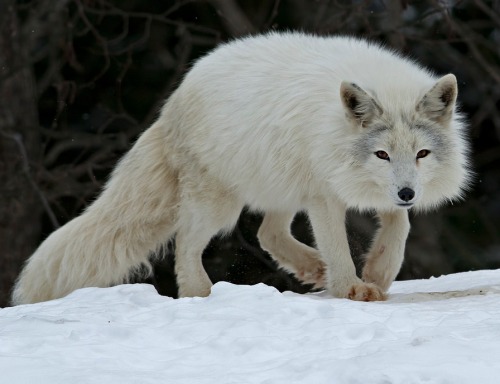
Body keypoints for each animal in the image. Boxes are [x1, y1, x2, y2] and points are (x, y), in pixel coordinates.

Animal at [12, 31, 472, 304]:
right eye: (381, 154)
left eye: (422, 154)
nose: (408, 193)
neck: (335, 131)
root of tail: (173, 102)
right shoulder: (325, 195)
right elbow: (341, 250)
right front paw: (351, 289)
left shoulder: (368, 193)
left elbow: (398, 228)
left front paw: (378, 272)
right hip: (221, 205)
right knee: (186, 243)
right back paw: (199, 293)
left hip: (281, 188)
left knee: (268, 234)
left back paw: (311, 268)